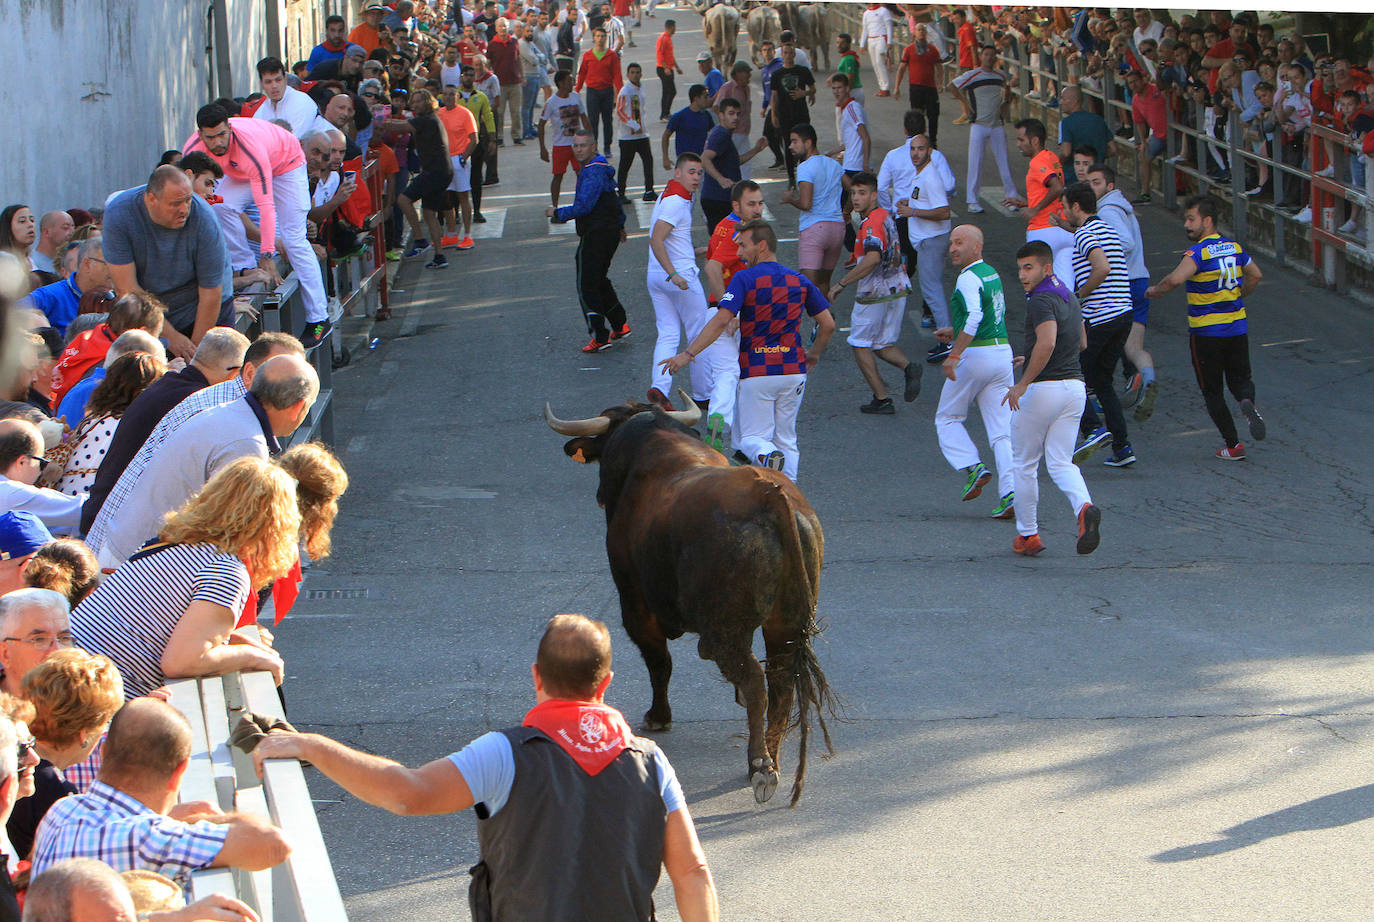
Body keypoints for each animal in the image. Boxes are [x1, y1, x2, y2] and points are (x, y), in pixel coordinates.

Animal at [541, 392, 829, 802]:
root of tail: (768, 495)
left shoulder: (634, 602)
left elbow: (659, 662)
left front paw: (658, 717)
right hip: (784, 624)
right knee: (781, 680)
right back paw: (771, 756)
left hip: (727, 630)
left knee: (755, 680)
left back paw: (760, 765)